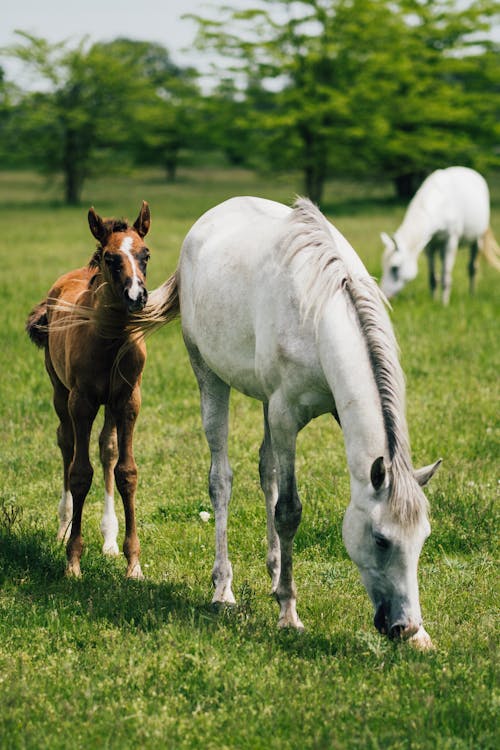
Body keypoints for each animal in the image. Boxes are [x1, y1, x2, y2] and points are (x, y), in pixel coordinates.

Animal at [146, 197, 442, 648]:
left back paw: (271, 575)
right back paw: (223, 589)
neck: (319, 314)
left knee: (265, 470)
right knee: (221, 480)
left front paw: (424, 637)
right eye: (380, 539)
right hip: (209, 377)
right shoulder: (285, 415)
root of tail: (206, 220)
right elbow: (288, 510)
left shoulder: (310, 408)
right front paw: (288, 613)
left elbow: (276, 490)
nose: (405, 626)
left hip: (264, 404)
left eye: (422, 538)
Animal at [380, 166, 498, 304]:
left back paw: (472, 295)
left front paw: (444, 304)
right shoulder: (429, 247)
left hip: (477, 240)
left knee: (472, 268)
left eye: (394, 268)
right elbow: (432, 277)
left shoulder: (450, 242)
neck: (440, 202)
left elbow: (446, 277)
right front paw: (434, 301)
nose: (386, 297)